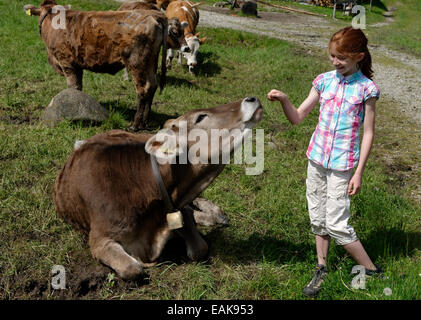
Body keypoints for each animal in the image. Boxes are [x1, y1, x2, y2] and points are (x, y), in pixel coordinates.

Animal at [23, 0, 184, 130]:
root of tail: (154, 14)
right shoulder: (77, 66)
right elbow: (79, 88)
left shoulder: (67, 63)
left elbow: (73, 87)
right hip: (150, 62)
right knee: (153, 86)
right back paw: (144, 123)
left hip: (137, 63)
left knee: (143, 89)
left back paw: (135, 125)